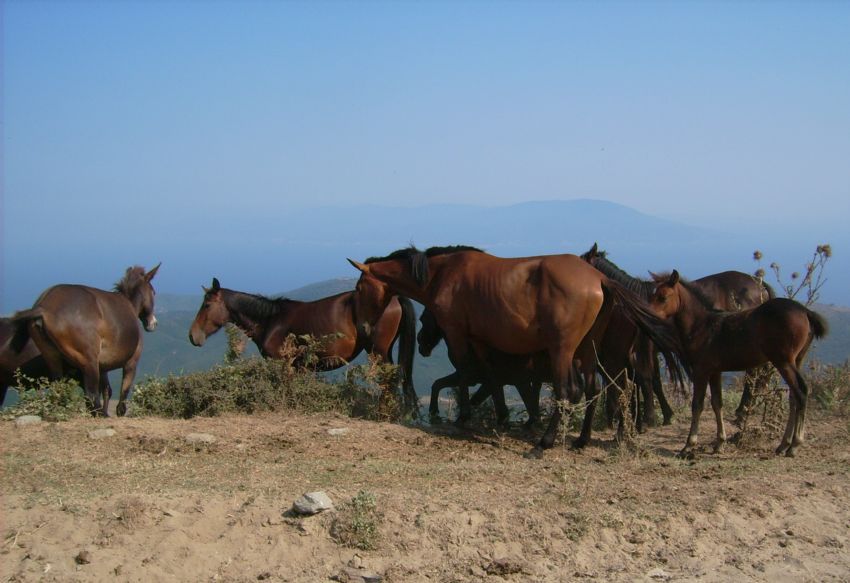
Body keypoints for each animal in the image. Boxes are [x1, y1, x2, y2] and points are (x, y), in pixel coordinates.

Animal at [9, 264, 159, 416]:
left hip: (52, 357)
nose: (153, 323)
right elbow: (122, 396)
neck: (130, 305)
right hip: (89, 361)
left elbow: (107, 390)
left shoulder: (103, 367)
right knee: (91, 395)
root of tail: (44, 308)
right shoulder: (131, 362)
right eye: (153, 292)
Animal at [187, 280, 416, 412]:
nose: (193, 336)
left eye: (207, 305)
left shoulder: (284, 364)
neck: (271, 320)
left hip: (378, 351)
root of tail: (394, 297)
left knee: (389, 379)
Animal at [344, 246, 684, 456]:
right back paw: (582, 440)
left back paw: (545, 442)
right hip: (588, 351)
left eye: (359, 288)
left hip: (564, 350)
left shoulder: (457, 333)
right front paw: (502, 416)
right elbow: (492, 377)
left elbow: (465, 373)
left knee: (568, 390)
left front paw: (463, 416)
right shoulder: (481, 341)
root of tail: (600, 278)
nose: (363, 327)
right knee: (592, 389)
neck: (444, 273)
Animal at [648, 272, 820, 458]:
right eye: (652, 295)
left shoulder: (701, 370)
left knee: (800, 392)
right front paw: (719, 443)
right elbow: (717, 403)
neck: (701, 325)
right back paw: (783, 445)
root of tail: (806, 312)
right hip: (796, 360)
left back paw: (794, 445)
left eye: (663, 297)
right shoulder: (714, 371)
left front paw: (688, 445)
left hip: (784, 361)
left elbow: (697, 405)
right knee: (793, 396)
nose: (649, 316)